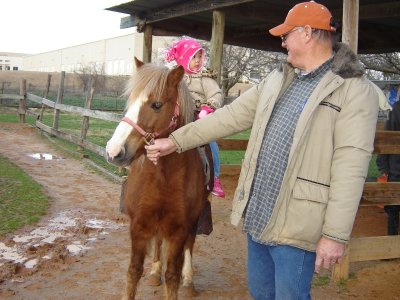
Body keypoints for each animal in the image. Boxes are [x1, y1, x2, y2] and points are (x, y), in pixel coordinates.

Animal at [106, 57, 212, 298]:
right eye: (130, 102)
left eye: (156, 105)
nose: (114, 150)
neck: (163, 177)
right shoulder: (139, 225)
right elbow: (133, 272)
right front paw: (152, 271)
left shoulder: (179, 228)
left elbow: (172, 276)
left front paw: (181, 279)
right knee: (157, 242)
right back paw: (155, 271)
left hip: (192, 221)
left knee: (190, 245)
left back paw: (188, 280)